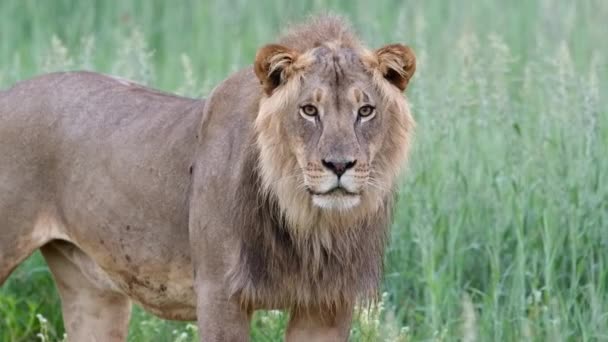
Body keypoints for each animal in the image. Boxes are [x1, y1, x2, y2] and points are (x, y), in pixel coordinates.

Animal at [0, 16, 414, 342]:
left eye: (366, 111)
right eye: (309, 110)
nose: (339, 165)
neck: (306, 221)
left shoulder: (328, 303)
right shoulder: (219, 294)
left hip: (91, 288)